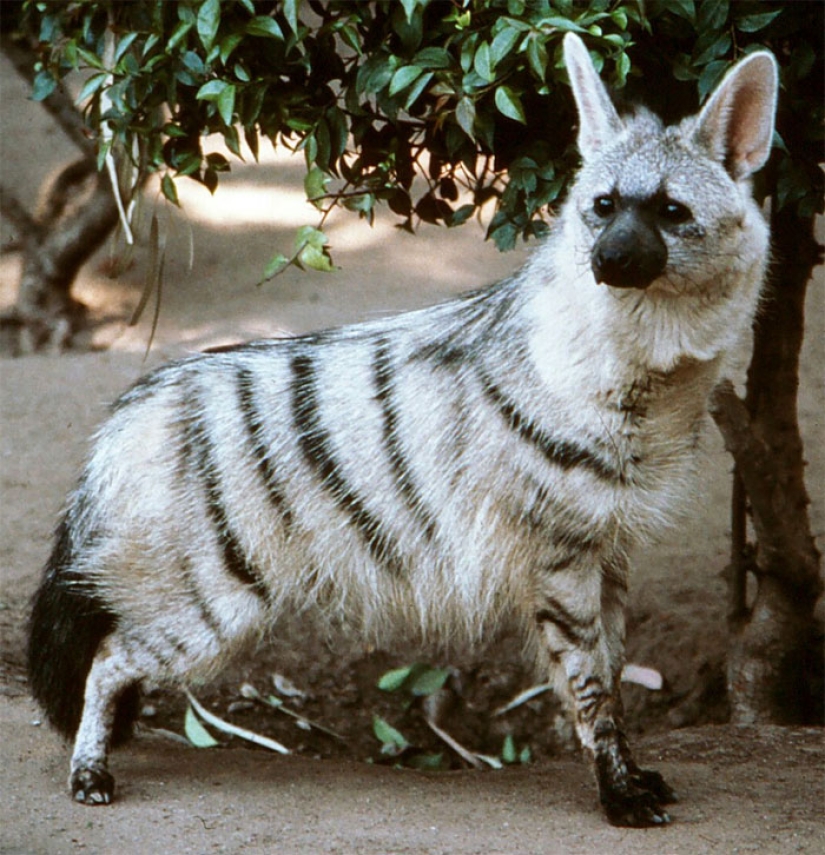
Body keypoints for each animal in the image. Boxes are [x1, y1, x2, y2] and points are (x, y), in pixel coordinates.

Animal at [27, 33, 777, 826]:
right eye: (602, 207)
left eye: (670, 210)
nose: (608, 259)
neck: (647, 380)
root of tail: (132, 410)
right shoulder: (559, 554)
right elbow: (588, 685)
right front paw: (619, 795)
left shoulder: (610, 549)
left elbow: (612, 672)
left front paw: (633, 775)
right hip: (214, 603)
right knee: (108, 657)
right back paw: (90, 773)